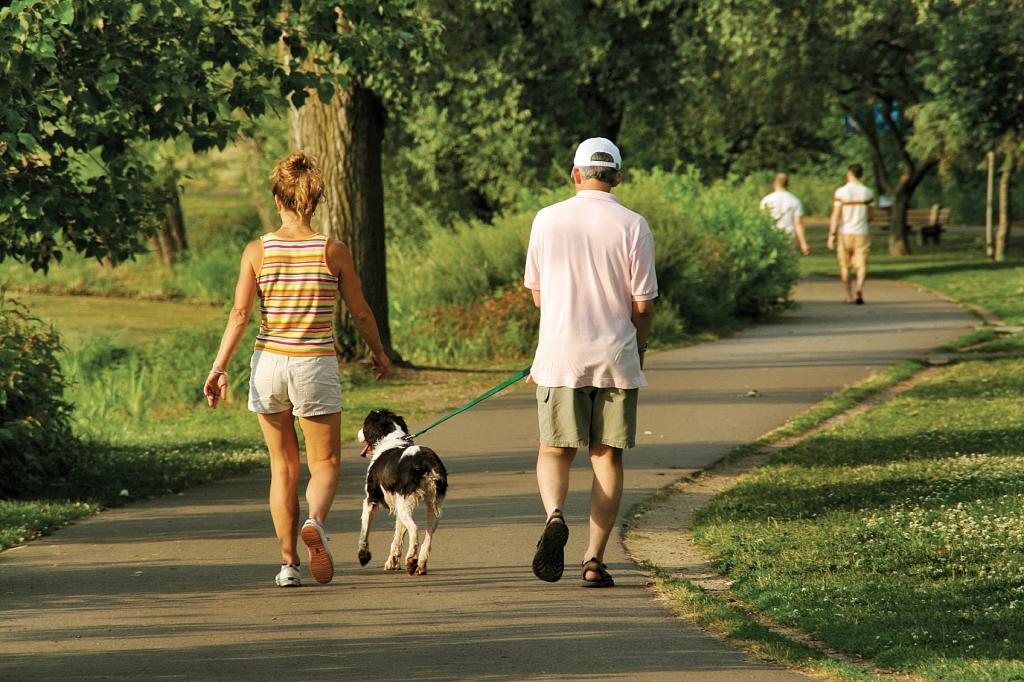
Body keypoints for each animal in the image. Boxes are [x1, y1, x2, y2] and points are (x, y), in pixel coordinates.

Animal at [358, 409, 446, 573]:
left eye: (365, 424)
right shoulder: (398, 505)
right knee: (428, 535)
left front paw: (363, 556)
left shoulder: (370, 500)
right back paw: (421, 565)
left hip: (406, 506)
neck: (392, 438)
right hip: (432, 506)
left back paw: (411, 560)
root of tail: (425, 459)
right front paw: (392, 562)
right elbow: (397, 537)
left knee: (415, 530)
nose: (358, 433)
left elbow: (364, 532)